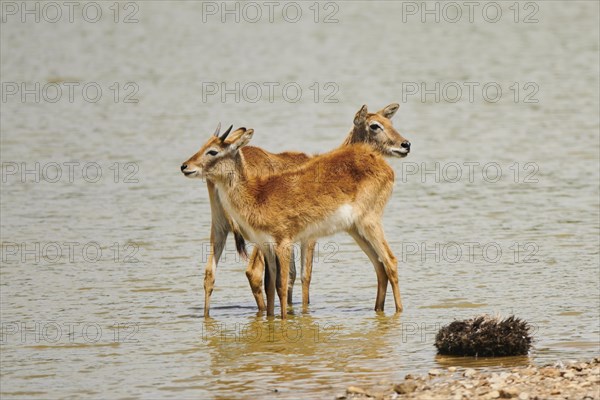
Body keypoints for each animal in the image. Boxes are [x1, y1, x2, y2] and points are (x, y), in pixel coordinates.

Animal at [182, 104, 408, 318]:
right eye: (375, 125)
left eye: (213, 150)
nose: (405, 145)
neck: (257, 194)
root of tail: (380, 163)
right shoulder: (275, 244)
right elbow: (281, 283)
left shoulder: (288, 241)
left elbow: (290, 281)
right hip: (357, 228)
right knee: (382, 265)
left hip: (367, 223)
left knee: (389, 261)